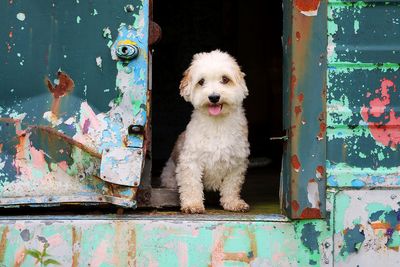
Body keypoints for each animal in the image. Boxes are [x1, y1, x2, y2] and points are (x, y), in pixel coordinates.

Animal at [160, 49, 250, 214]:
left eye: (225, 79)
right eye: (201, 82)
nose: (214, 97)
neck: (216, 123)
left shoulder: (237, 162)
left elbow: (231, 186)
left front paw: (233, 202)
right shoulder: (191, 162)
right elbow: (191, 185)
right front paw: (192, 204)